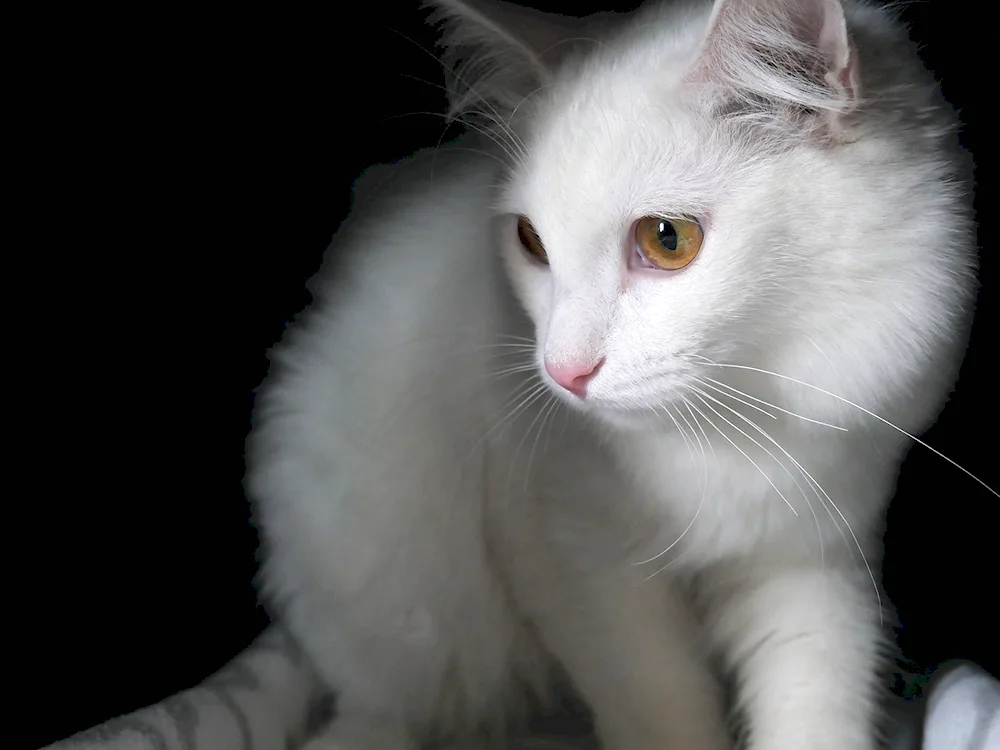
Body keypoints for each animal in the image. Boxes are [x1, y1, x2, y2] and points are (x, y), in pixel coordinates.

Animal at [248, 1, 976, 750]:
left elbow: (818, 705)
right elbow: (663, 707)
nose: (562, 371)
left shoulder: (814, 558)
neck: (734, 430)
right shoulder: (581, 563)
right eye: (530, 242)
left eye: (667, 239)